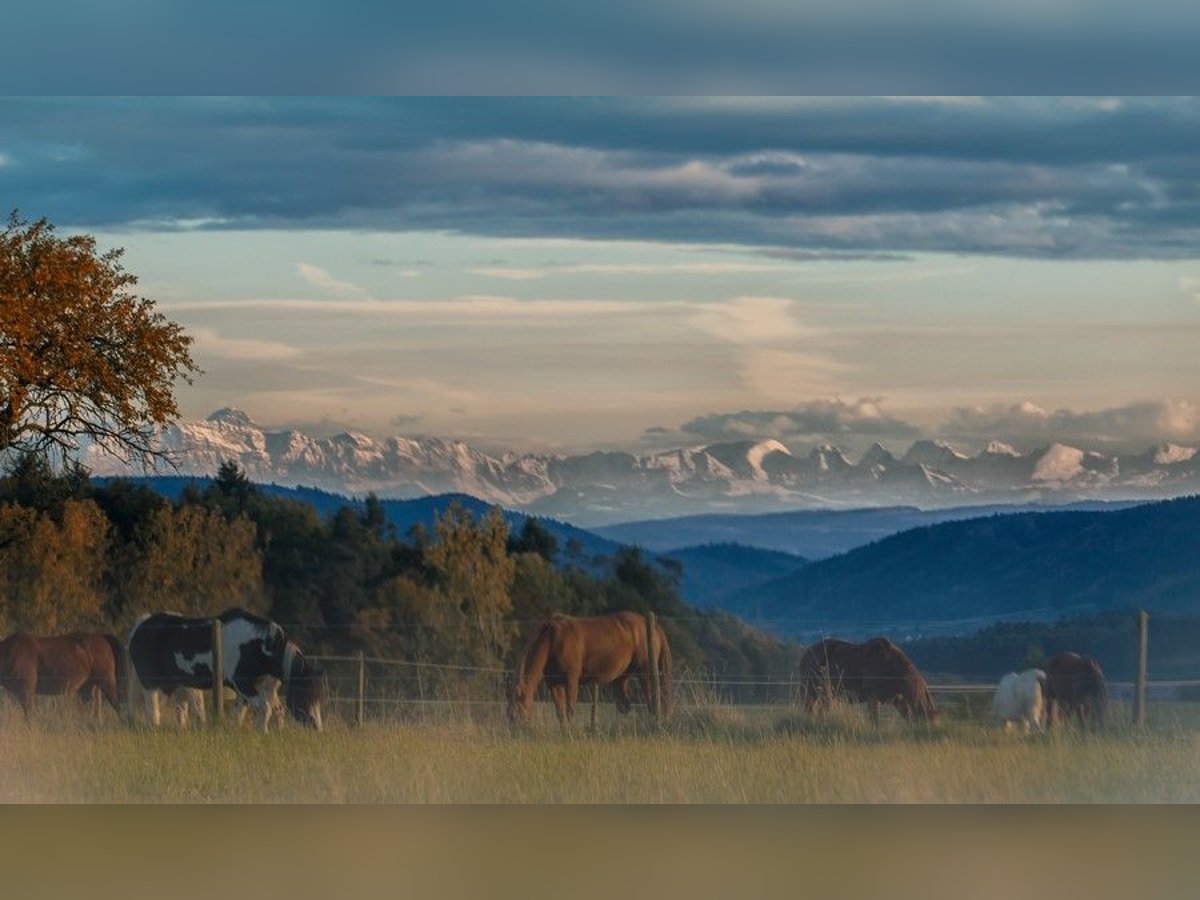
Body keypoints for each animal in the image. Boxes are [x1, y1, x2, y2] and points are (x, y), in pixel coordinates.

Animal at [127, 607, 324, 734]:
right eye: (305, 694)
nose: (317, 727)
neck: (260, 646)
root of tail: (140, 626)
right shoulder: (243, 684)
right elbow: (264, 708)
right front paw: (263, 733)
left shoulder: (260, 689)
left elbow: (268, 711)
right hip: (151, 684)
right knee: (152, 710)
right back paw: (154, 728)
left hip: (180, 687)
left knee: (181, 711)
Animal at [506, 609, 676, 729]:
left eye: (515, 714)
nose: (514, 731)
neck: (553, 639)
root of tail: (654, 627)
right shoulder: (554, 684)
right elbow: (560, 713)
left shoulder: (571, 680)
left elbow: (570, 710)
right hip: (621, 678)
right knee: (625, 707)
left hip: (645, 674)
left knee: (653, 703)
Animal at [801, 638, 940, 729]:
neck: (890, 666)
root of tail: (807, 653)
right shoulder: (873, 698)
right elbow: (874, 719)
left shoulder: (898, 700)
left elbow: (908, 717)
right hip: (813, 692)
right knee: (811, 709)